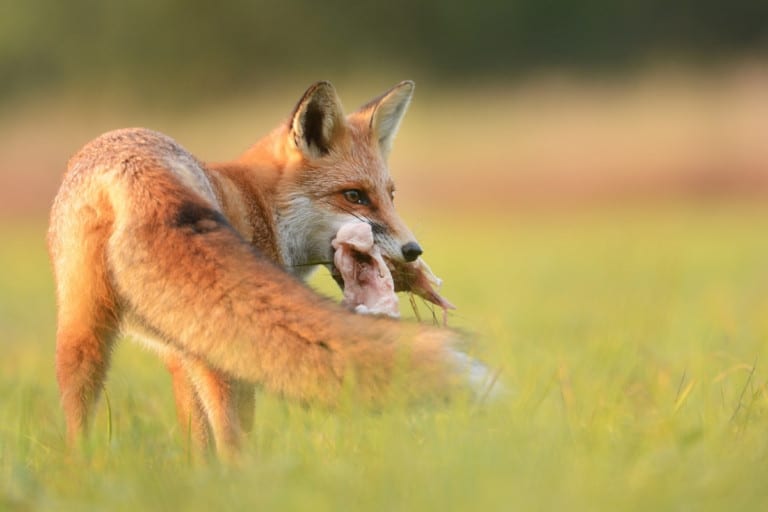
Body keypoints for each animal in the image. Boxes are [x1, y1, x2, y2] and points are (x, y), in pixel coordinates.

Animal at [48, 81, 485, 459]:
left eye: (390, 195)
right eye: (355, 196)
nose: (413, 251)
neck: (262, 205)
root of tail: (132, 167)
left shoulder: (179, 349)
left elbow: (197, 445)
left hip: (82, 336)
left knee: (77, 423)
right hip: (220, 352)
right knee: (233, 440)